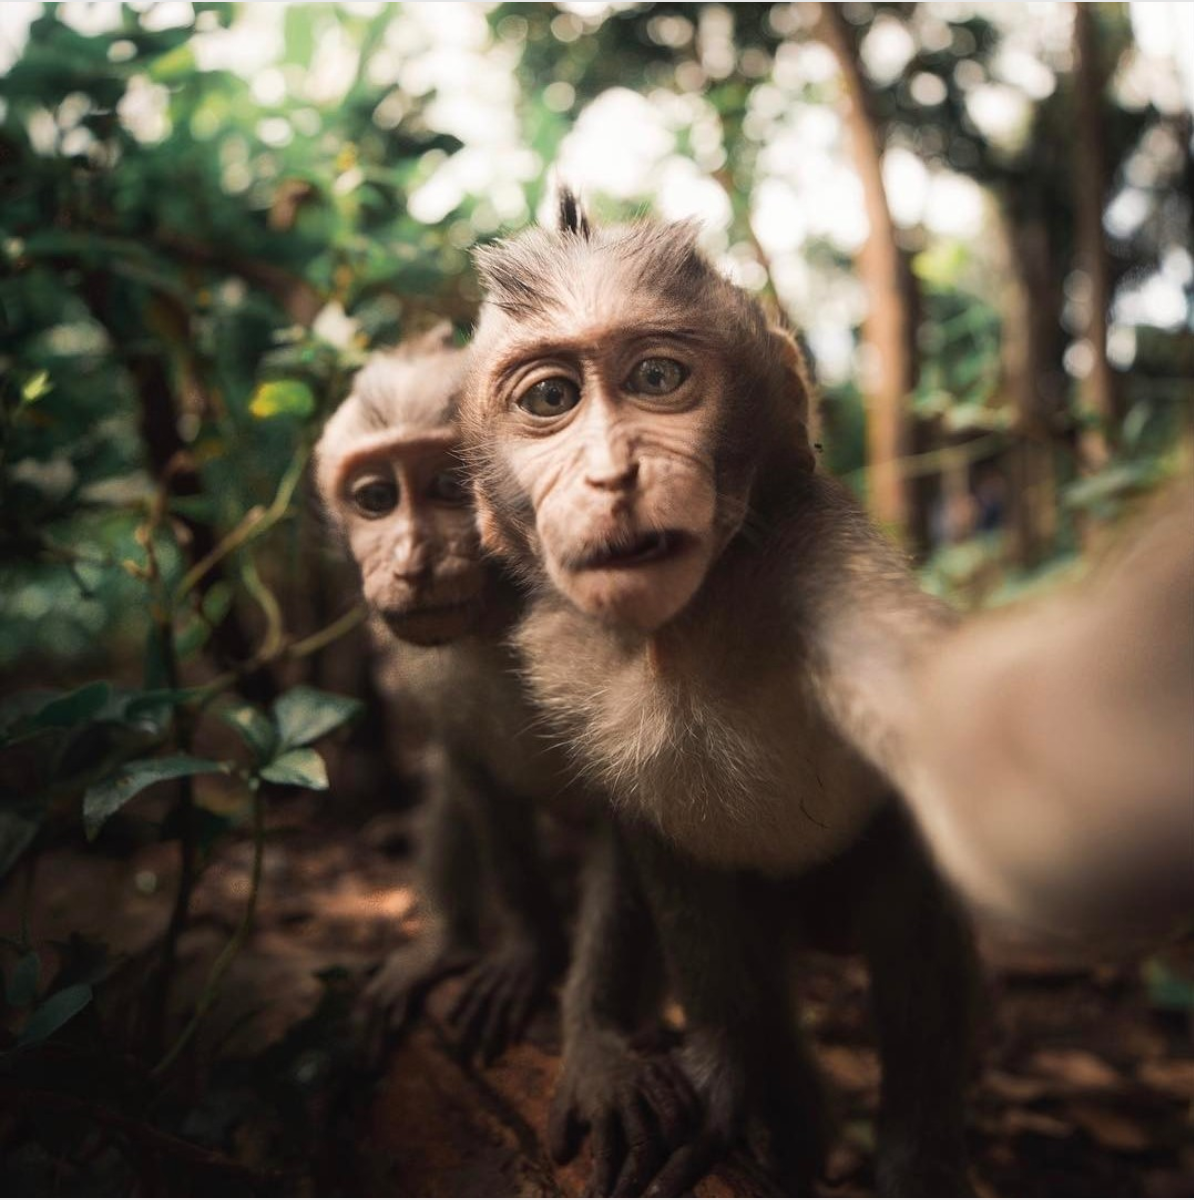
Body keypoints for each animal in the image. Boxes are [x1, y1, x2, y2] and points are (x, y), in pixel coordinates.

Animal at [316, 324, 710, 1195]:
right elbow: (468, 770)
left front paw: (594, 1040)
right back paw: (449, 941)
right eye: (375, 500)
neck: (506, 604)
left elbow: (631, 817)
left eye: (447, 487)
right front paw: (524, 951)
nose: (413, 560)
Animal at [458, 192, 979, 1195]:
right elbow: (655, 847)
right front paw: (718, 1073)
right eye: (550, 400)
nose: (612, 475)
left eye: (658, 377)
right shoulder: (559, 661)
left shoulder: (824, 567)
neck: (682, 637)